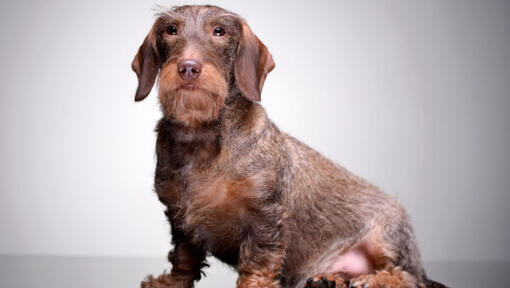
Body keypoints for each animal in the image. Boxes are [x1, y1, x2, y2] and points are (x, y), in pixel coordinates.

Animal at [131, 4, 446, 288]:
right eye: (171, 30)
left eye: (219, 31)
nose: (188, 68)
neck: (202, 138)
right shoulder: (180, 218)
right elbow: (184, 257)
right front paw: (171, 282)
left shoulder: (265, 217)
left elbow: (258, 261)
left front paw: (254, 286)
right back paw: (329, 279)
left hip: (389, 239)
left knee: (409, 277)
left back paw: (374, 280)